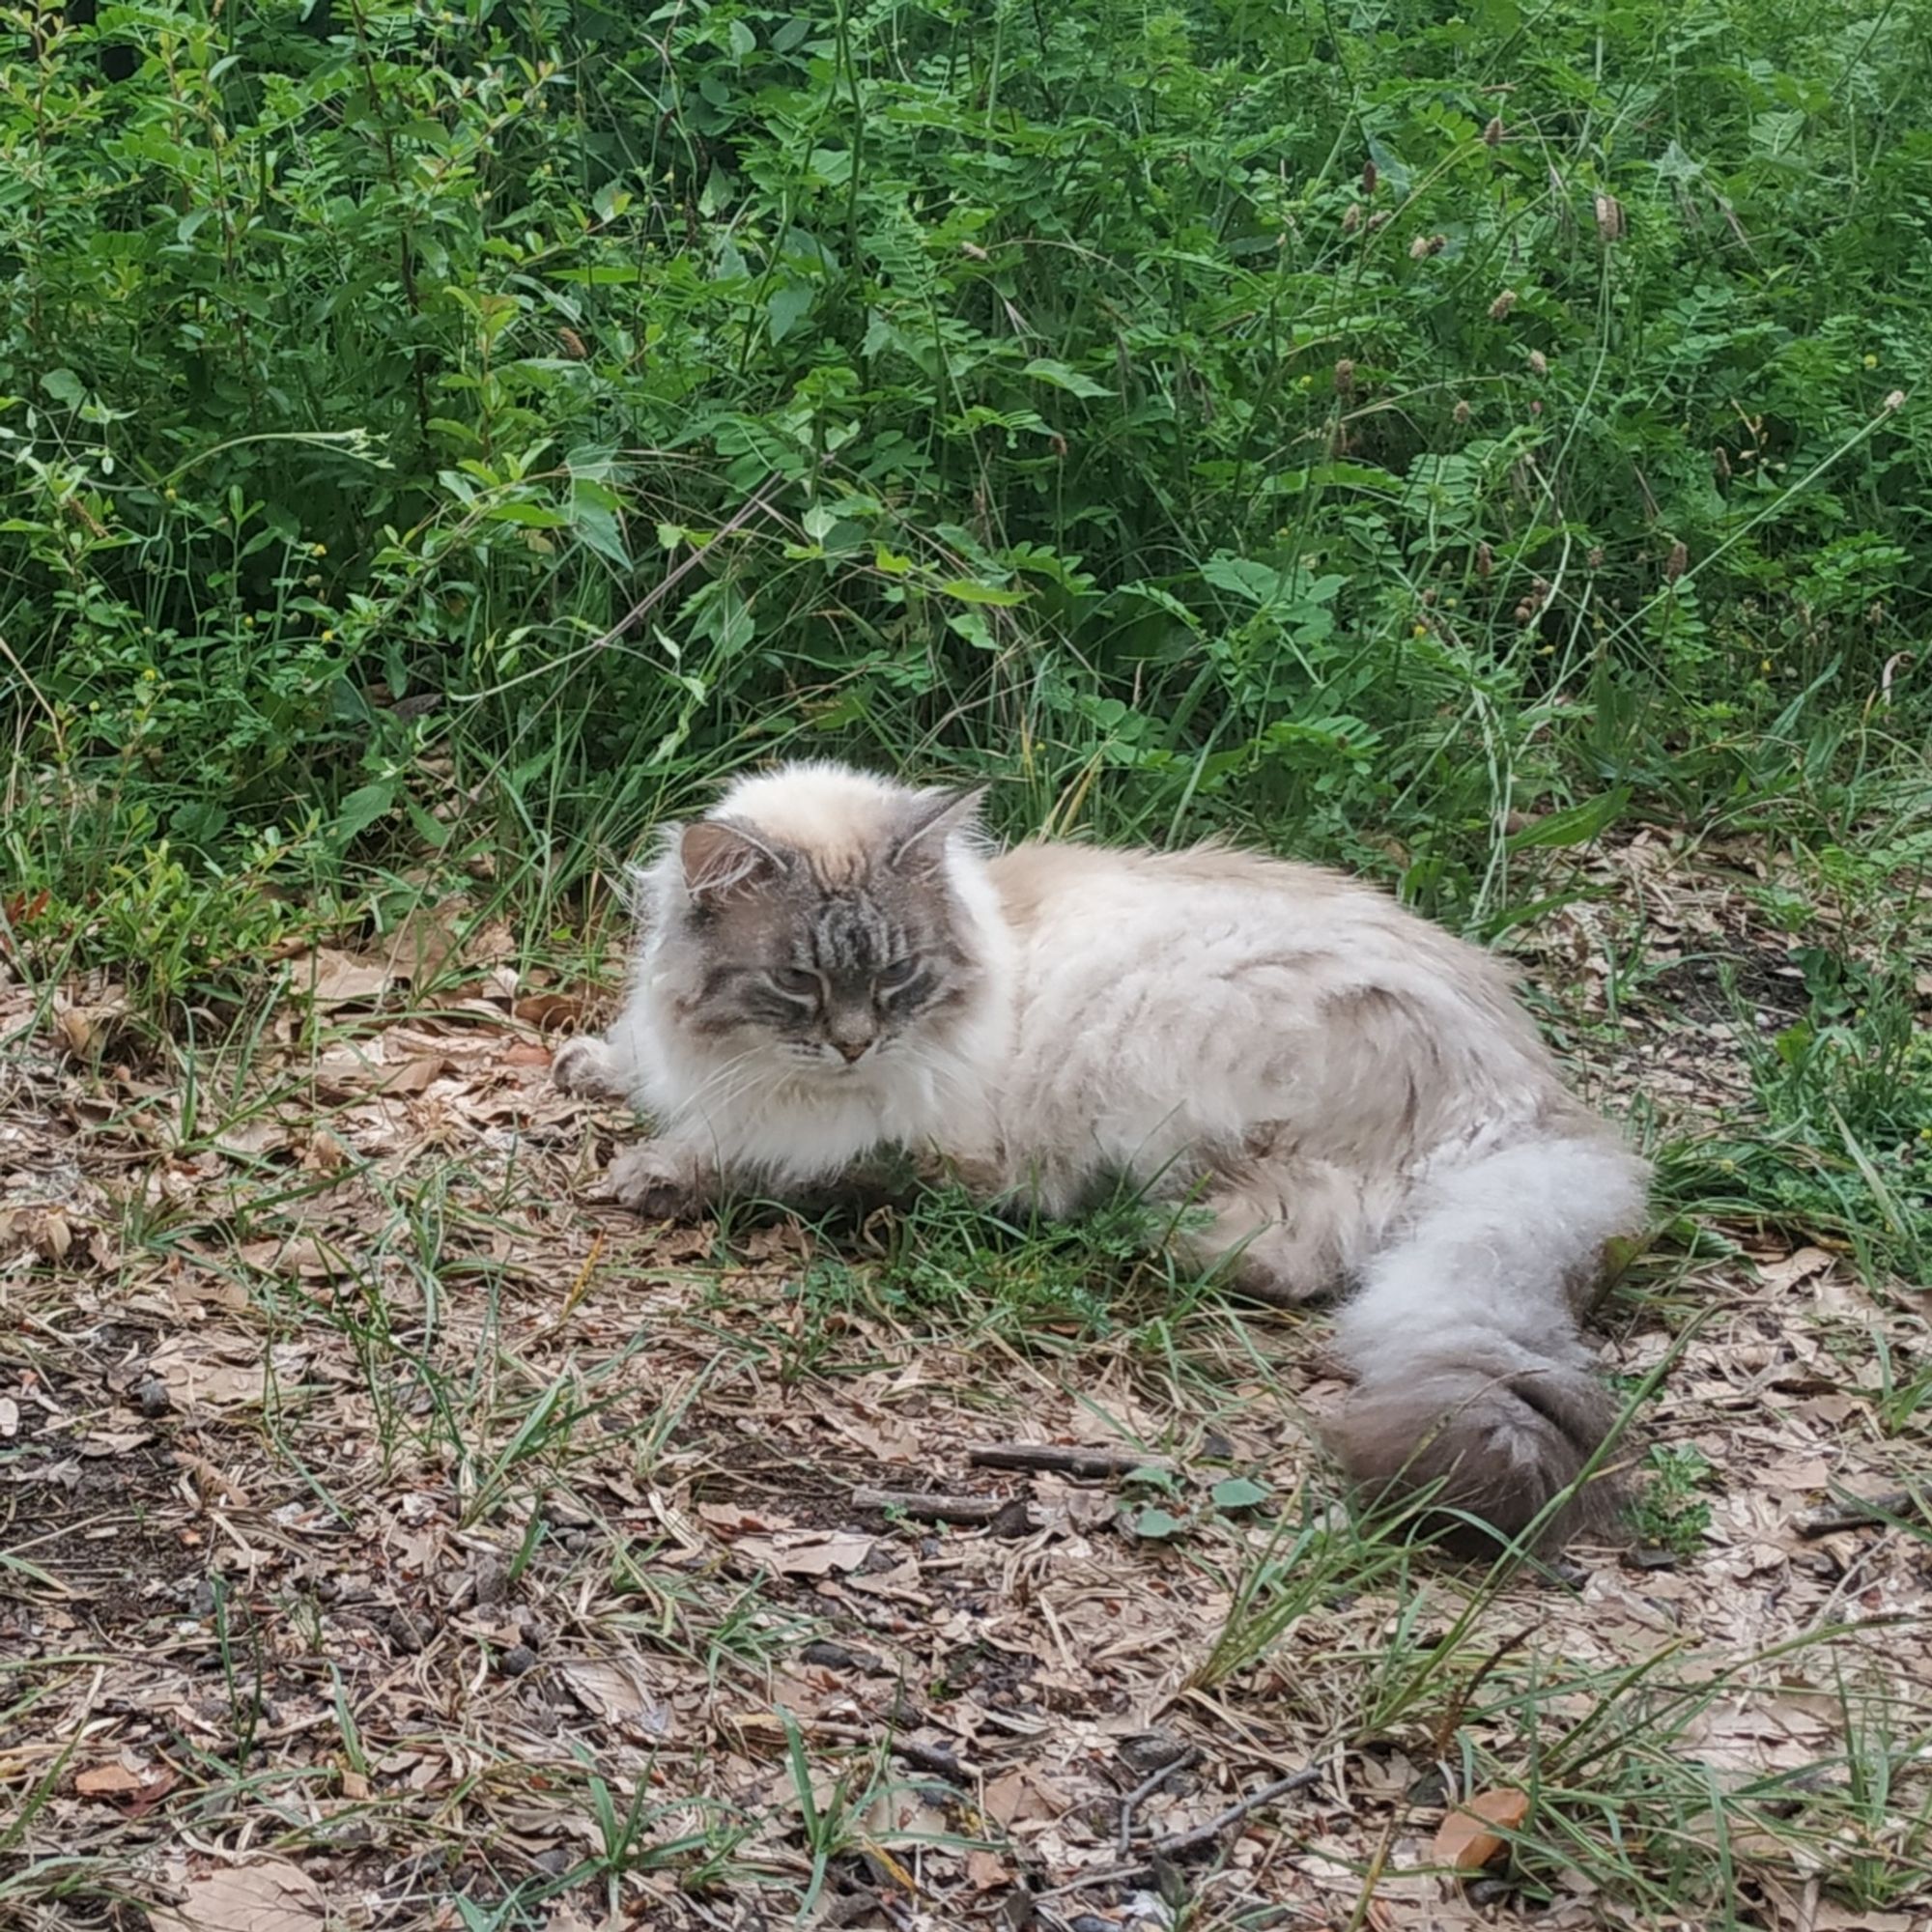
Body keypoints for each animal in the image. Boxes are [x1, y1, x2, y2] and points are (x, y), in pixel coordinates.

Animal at [556, 761, 1646, 1546]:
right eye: (798, 982)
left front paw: (660, 1170)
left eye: (898, 976)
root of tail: (1536, 1101)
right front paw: (595, 1067)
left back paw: (1140, 1231)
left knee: (1302, 1249)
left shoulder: (909, 1141)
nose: (856, 1045)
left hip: (1169, 1043)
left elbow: (768, 1158)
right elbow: (635, 1057)